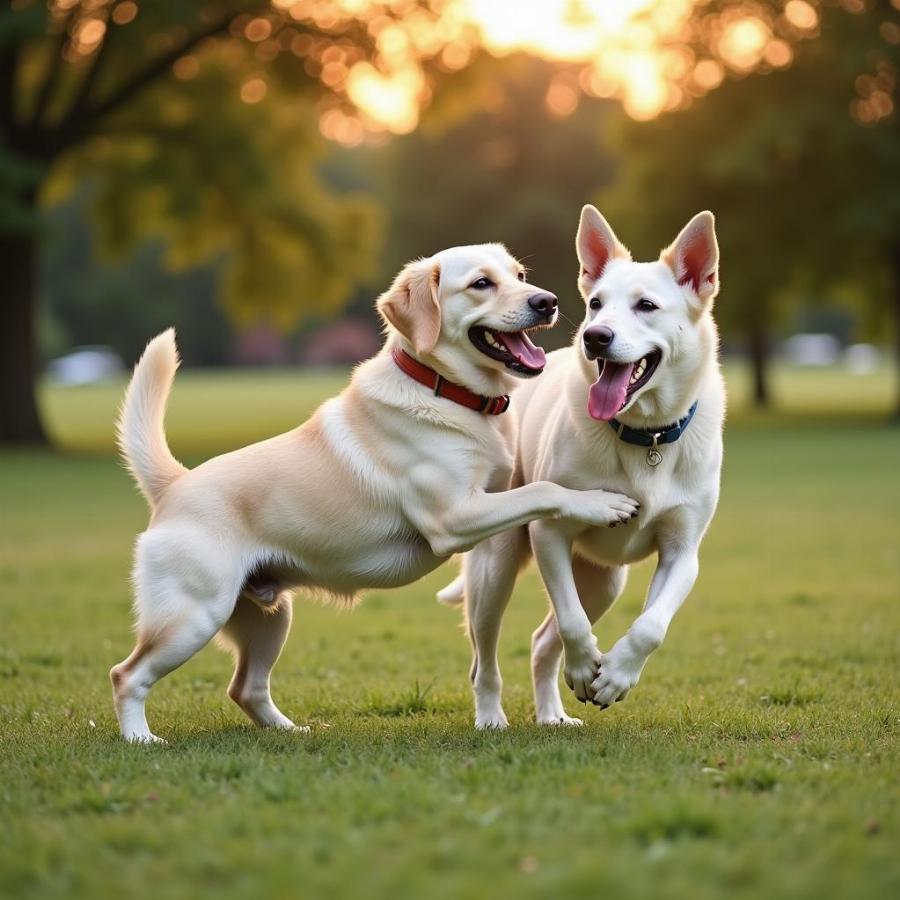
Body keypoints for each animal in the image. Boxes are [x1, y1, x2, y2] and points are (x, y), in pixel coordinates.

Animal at [110, 243, 640, 740]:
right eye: (481, 283)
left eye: (520, 275)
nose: (547, 301)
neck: (445, 392)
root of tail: (174, 485)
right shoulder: (454, 517)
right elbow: (543, 489)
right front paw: (600, 502)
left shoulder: (491, 497)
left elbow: (528, 491)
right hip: (194, 616)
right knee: (127, 675)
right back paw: (142, 739)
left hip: (269, 617)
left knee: (245, 688)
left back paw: (291, 732)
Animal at [440, 207, 728, 728]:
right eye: (595, 304)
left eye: (646, 306)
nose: (596, 336)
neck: (644, 435)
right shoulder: (549, 533)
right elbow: (572, 623)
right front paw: (584, 667)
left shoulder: (683, 552)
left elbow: (651, 626)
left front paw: (614, 676)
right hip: (495, 569)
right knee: (485, 659)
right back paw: (493, 715)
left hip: (604, 582)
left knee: (541, 642)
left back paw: (552, 714)